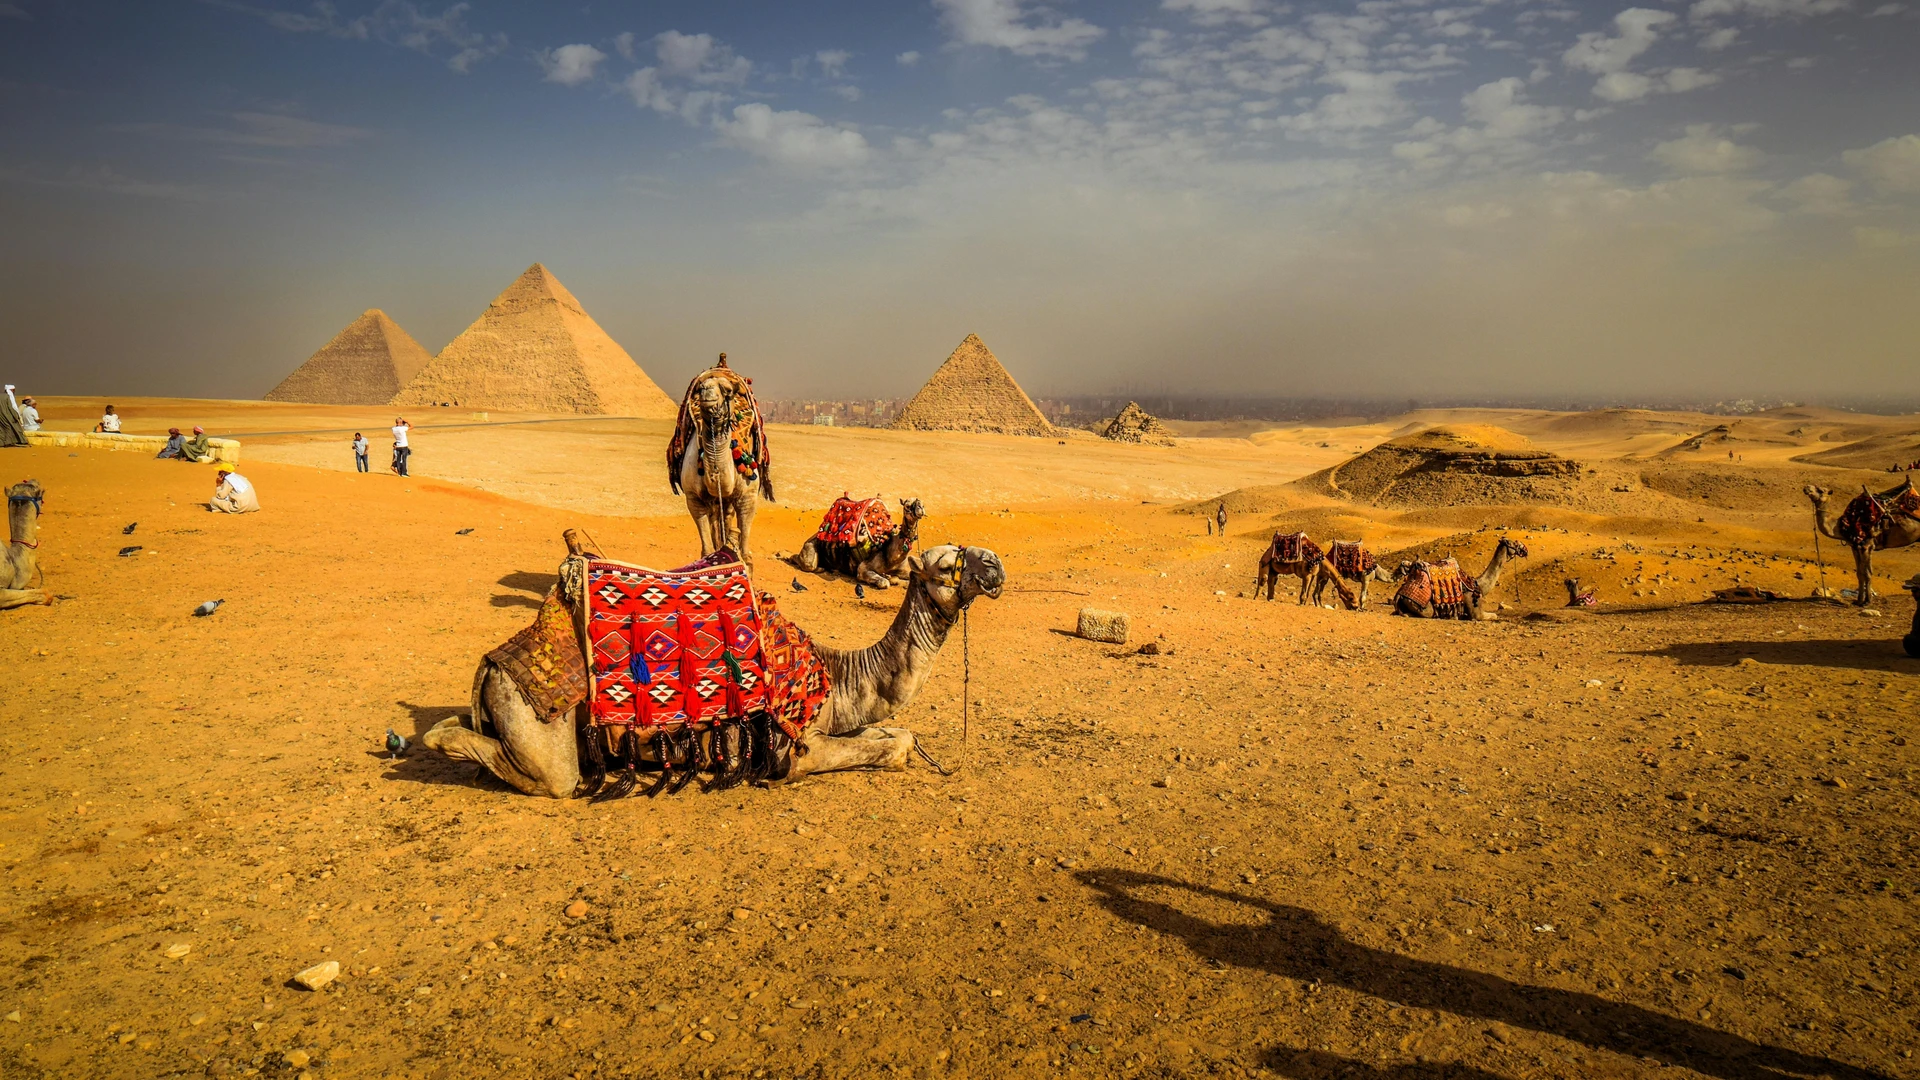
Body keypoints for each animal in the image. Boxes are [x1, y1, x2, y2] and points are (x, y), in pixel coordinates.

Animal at [421, 538, 1005, 797]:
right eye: (947, 562)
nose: (995, 564)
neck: (840, 677)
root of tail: (492, 664)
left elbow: (898, 734)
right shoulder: (794, 750)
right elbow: (892, 748)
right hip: (541, 726)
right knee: (547, 774)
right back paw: (440, 739)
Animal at [669, 356, 773, 569]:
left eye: (728, 390)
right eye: (700, 388)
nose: (707, 392)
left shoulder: (748, 496)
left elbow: (746, 551)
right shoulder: (693, 497)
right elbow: (706, 547)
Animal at [796, 497, 925, 588]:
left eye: (922, 504)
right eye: (907, 506)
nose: (920, 507)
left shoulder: (902, 569)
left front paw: (892, 577)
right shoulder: (862, 569)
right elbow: (884, 582)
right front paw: (889, 578)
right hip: (810, 551)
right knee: (806, 563)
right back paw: (822, 569)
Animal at [1391, 537, 1528, 620]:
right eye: (1513, 543)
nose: (1524, 549)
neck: (1478, 584)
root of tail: (1399, 595)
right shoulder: (1475, 609)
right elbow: (1493, 615)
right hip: (1424, 608)